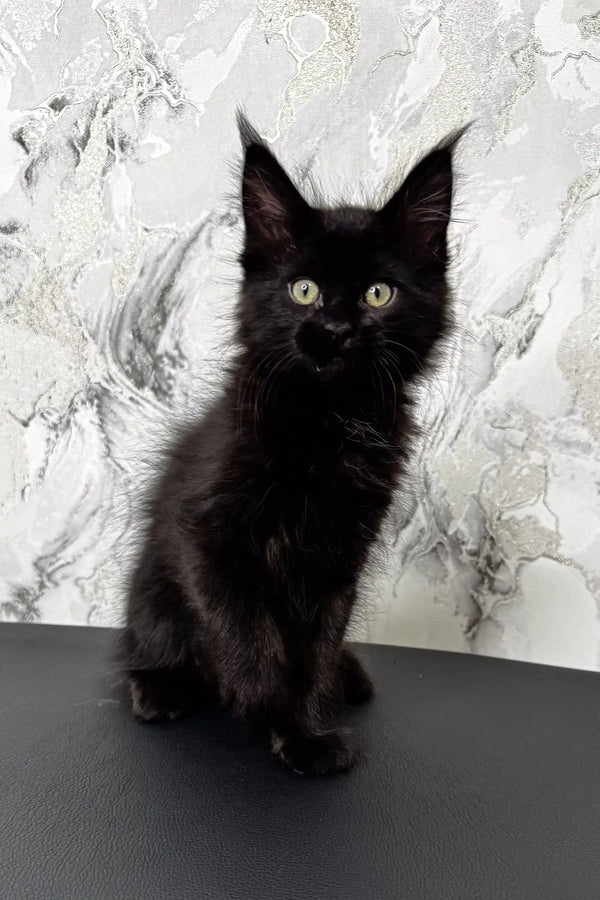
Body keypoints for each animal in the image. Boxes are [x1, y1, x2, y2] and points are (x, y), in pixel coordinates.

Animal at [120, 118, 460, 772]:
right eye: (303, 290)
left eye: (378, 294)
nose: (334, 331)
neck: (326, 425)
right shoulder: (204, 534)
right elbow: (244, 630)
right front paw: (262, 701)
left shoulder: (340, 556)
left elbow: (316, 651)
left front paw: (304, 731)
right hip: (153, 595)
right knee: (151, 644)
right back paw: (160, 687)